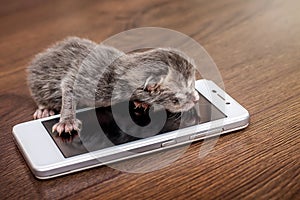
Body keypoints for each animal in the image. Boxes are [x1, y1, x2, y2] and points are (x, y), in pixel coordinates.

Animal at [27, 36, 199, 135]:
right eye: (179, 96)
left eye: (193, 84)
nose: (196, 99)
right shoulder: (89, 79)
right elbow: (69, 86)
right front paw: (67, 122)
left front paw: (141, 103)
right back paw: (45, 109)